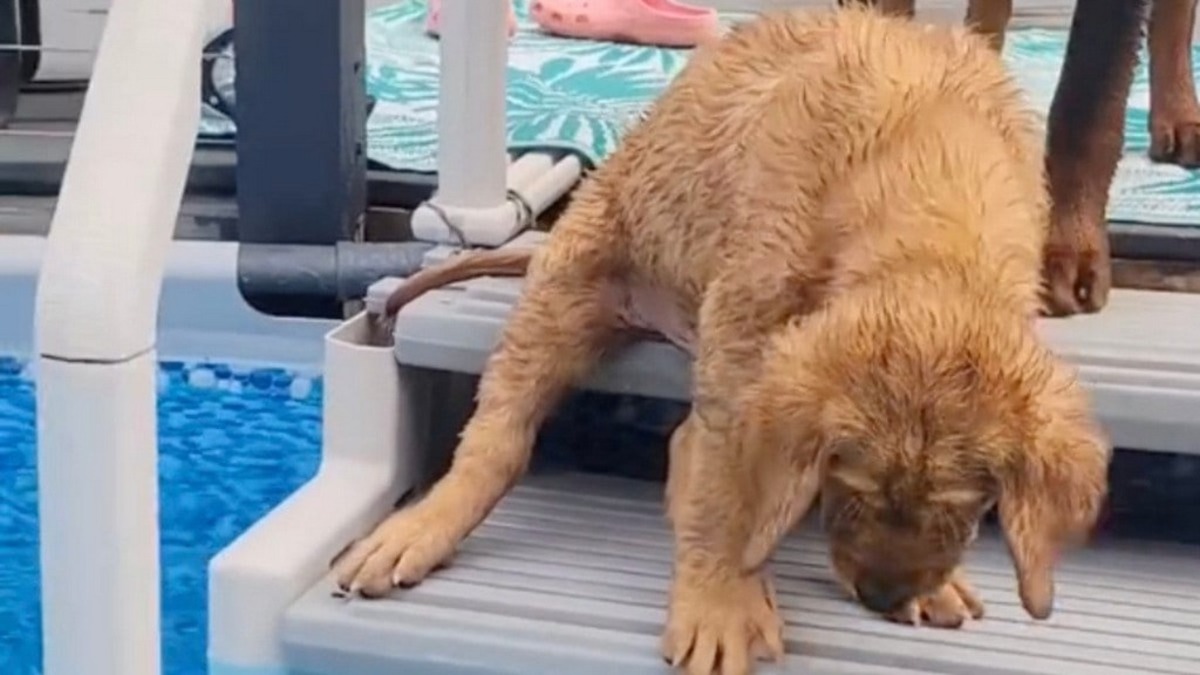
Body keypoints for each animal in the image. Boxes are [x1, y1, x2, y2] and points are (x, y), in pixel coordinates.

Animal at [333, 7, 1108, 667]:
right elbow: (727, 493)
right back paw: (426, 523)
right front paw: (719, 601)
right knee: (502, 439)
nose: (882, 597)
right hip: (568, 286)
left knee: (682, 443)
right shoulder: (746, 340)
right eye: (844, 479)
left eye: (972, 505)